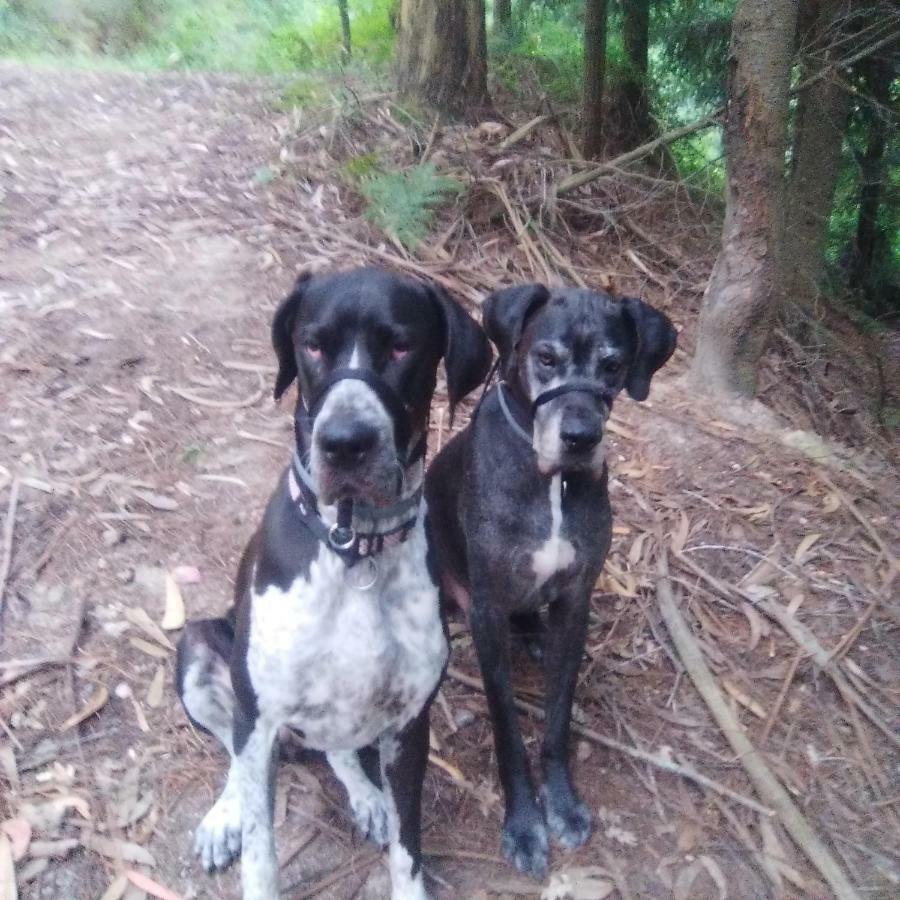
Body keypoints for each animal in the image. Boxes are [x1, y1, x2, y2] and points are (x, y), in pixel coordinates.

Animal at [173, 268, 488, 900]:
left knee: (339, 752)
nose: (345, 442)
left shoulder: (410, 725)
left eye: (402, 346)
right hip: (199, 651)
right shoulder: (259, 717)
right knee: (235, 759)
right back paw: (224, 816)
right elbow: (261, 848)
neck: (353, 548)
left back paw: (368, 797)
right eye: (313, 344)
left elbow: (408, 846)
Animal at [428, 284, 676, 880]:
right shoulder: (487, 610)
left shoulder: (574, 603)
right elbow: (507, 729)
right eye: (545, 358)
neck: (553, 485)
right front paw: (524, 824)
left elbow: (558, 720)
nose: (581, 437)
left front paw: (561, 804)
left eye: (613, 366)